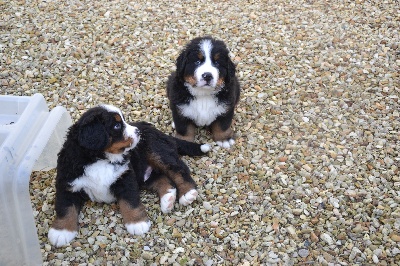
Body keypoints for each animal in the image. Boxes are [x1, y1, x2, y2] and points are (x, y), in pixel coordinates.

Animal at [48, 104, 211, 247]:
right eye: (116, 126)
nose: (138, 132)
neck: (100, 159)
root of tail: (157, 130)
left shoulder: (125, 177)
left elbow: (129, 202)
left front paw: (137, 223)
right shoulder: (67, 183)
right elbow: (65, 208)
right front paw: (61, 232)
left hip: (157, 151)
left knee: (178, 169)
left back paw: (187, 193)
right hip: (143, 173)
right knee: (162, 179)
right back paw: (168, 199)